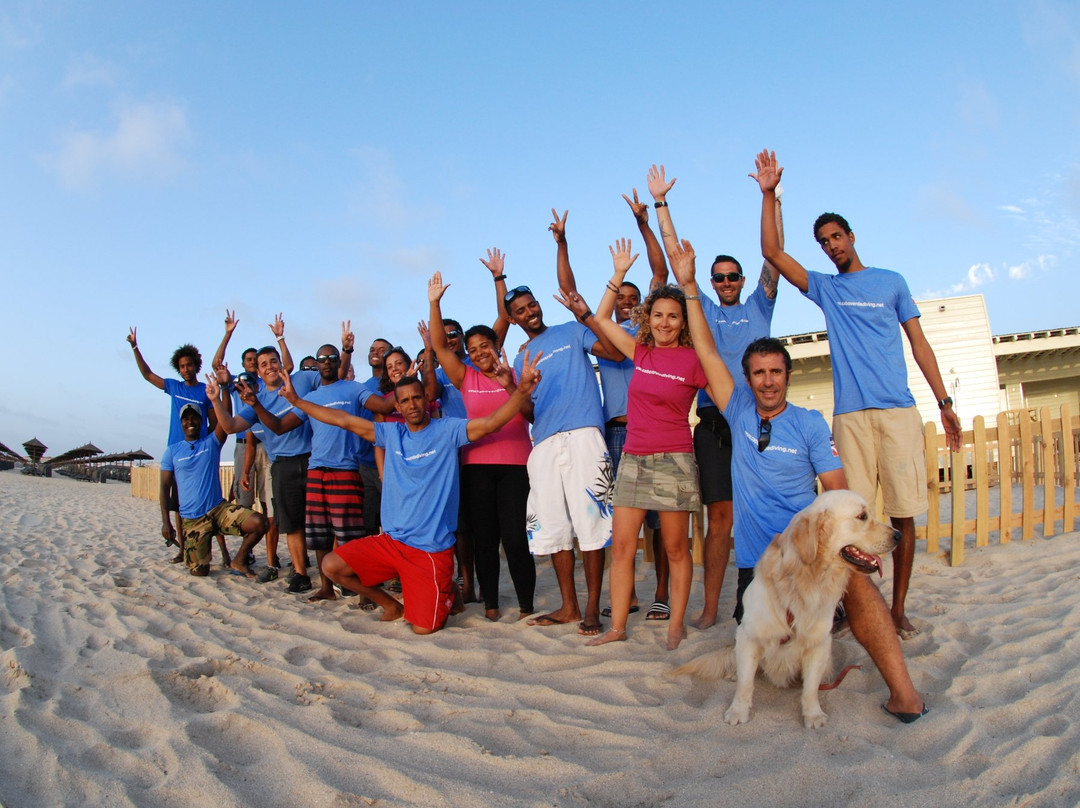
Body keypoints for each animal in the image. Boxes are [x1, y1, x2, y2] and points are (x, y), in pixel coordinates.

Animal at [678, 488, 898, 730]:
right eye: (862, 516)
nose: (898, 535)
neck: (806, 579)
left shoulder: (818, 643)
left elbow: (810, 688)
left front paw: (813, 714)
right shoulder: (749, 635)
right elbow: (745, 684)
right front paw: (738, 711)